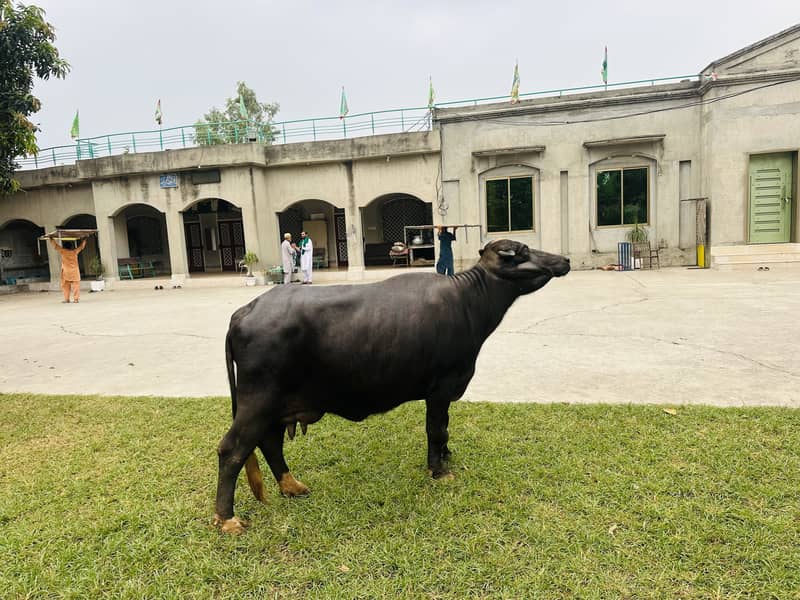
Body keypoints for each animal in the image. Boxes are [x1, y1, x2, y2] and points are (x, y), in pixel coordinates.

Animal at [214, 239, 570, 533]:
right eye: (523, 251)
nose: (564, 259)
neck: (469, 301)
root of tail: (244, 311)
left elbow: (445, 430)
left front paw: (447, 457)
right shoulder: (441, 388)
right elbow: (437, 429)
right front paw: (439, 470)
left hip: (276, 406)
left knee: (270, 443)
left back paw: (292, 486)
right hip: (257, 400)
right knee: (232, 449)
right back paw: (227, 518)